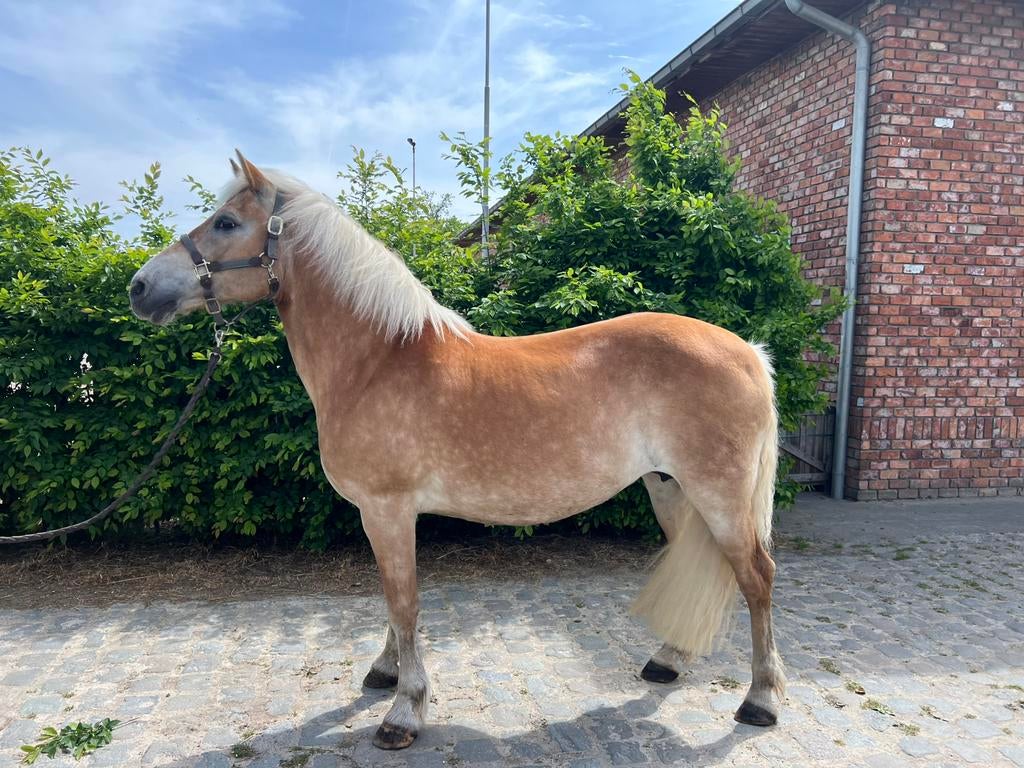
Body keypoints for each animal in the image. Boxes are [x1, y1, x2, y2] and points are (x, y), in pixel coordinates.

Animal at [129, 151, 785, 750]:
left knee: (757, 577)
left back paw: (761, 700)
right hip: (670, 491)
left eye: (226, 223)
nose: (139, 287)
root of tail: (748, 351)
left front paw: (404, 711)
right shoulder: (382, 515)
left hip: (719, 495)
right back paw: (668, 661)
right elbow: (392, 599)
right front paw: (385, 672)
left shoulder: (387, 509)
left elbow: (405, 602)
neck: (376, 362)